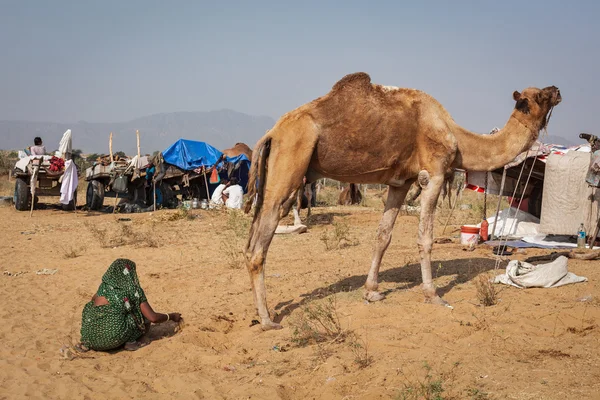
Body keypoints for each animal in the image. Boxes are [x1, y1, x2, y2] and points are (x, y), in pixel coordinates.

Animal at [241, 72, 560, 332]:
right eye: (540, 96)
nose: (557, 89)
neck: (456, 137)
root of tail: (271, 133)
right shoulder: (433, 174)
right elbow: (425, 238)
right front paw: (433, 295)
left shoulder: (400, 182)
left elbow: (383, 235)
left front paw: (371, 291)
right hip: (291, 160)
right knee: (260, 243)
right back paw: (268, 319)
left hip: (272, 171)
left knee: (251, 239)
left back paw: (260, 313)